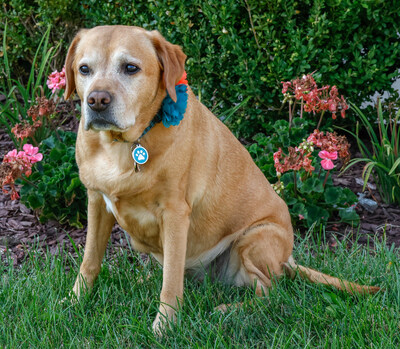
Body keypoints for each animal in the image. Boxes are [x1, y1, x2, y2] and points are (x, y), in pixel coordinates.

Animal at [64, 24, 380, 332]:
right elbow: (90, 261)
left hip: (255, 238)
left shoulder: (175, 213)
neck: (120, 145)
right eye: (84, 69)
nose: (97, 101)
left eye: (130, 68)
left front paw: (164, 325)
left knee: (270, 292)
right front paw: (74, 302)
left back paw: (228, 310)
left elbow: (171, 284)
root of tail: (288, 260)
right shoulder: (96, 201)